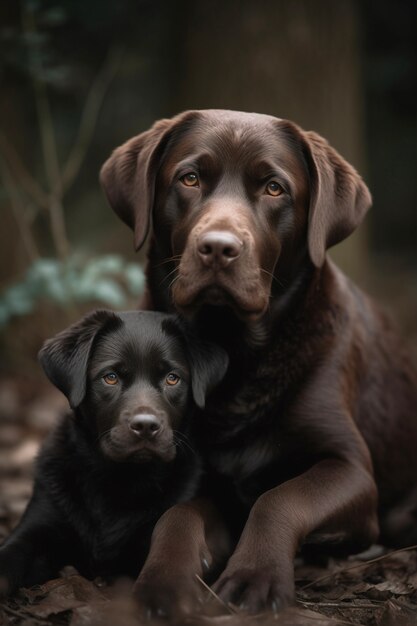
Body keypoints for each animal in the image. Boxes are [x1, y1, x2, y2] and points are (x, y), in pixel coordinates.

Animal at [101, 109, 416, 612]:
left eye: (274, 188)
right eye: (189, 178)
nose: (218, 247)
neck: (235, 355)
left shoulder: (351, 470)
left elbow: (280, 498)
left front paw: (256, 576)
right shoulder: (204, 479)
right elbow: (177, 514)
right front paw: (164, 581)